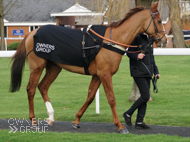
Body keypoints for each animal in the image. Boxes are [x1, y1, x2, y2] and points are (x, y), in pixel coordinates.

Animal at [9, 1, 166, 133]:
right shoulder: (105, 74)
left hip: (54, 67)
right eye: (159, 21)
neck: (111, 41)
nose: (163, 40)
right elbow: (111, 99)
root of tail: (32, 32)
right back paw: (33, 121)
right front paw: (120, 126)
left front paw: (77, 120)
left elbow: (90, 97)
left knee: (43, 87)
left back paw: (51, 117)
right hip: (37, 66)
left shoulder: (97, 75)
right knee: (31, 89)